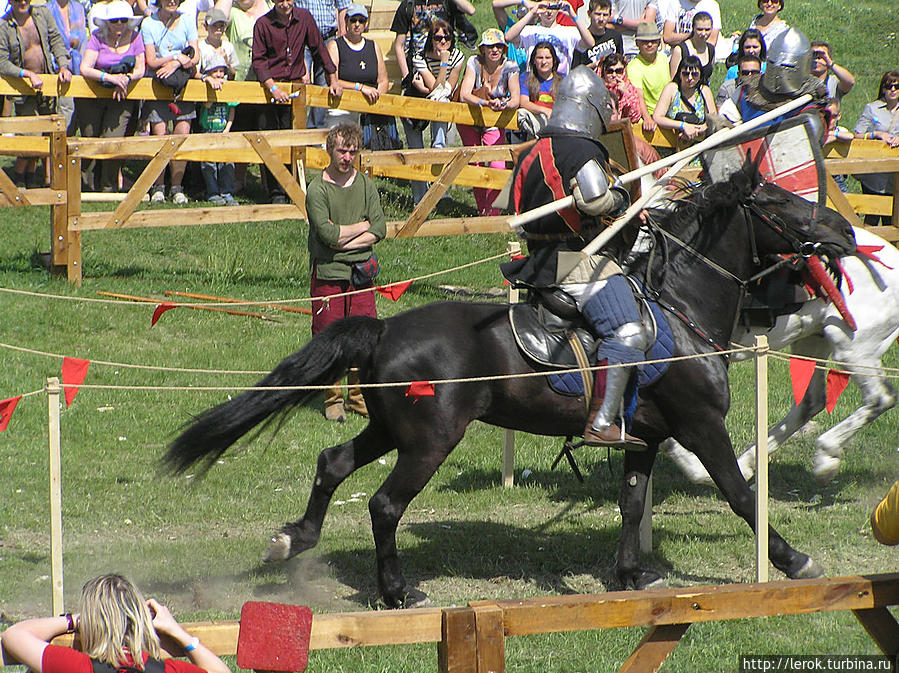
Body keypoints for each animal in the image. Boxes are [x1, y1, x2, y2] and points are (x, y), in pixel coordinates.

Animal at [163, 158, 856, 608]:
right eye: (777, 201)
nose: (845, 231)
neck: (681, 304)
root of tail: (383, 328)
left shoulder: (644, 438)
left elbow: (633, 504)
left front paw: (631, 576)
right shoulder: (701, 427)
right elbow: (741, 495)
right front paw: (794, 561)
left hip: (391, 427)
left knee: (332, 464)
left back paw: (294, 540)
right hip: (429, 439)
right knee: (385, 505)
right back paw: (395, 592)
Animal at [660, 226, 899, 484]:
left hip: (854, 347)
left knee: (880, 398)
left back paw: (825, 456)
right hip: (814, 339)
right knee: (810, 403)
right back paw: (744, 463)